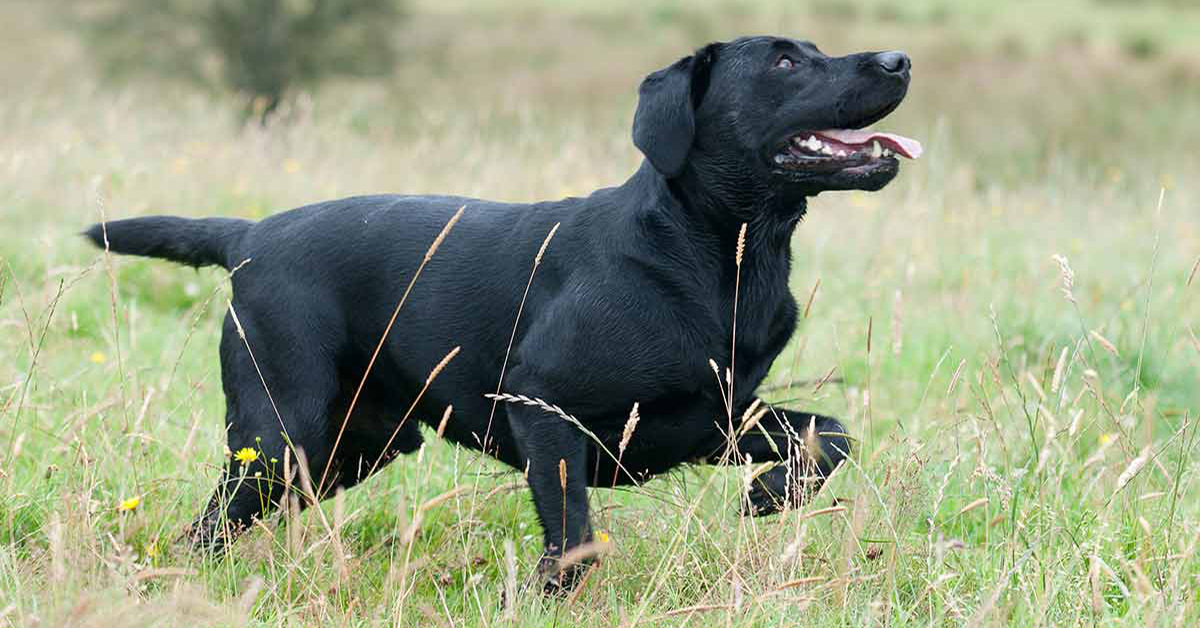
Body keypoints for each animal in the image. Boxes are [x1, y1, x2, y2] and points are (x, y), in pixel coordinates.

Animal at [87, 36, 916, 593]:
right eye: (785, 64)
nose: (899, 59)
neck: (722, 257)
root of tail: (249, 236)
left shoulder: (716, 415)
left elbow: (832, 434)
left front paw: (771, 495)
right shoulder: (543, 405)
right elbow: (573, 535)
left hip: (352, 447)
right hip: (279, 434)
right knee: (210, 525)